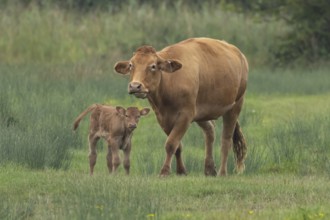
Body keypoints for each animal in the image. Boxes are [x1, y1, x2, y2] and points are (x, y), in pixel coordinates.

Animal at [113, 37, 248, 176]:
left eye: (153, 66)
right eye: (131, 65)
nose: (135, 86)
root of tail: (239, 54)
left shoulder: (186, 115)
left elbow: (171, 143)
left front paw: (164, 171)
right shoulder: (162, 117)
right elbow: (177, 145)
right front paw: (181, 170)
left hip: (235, 105)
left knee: (226, 140)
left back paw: (222, 172)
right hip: (202, 111)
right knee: (210, 131)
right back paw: (209, 168)